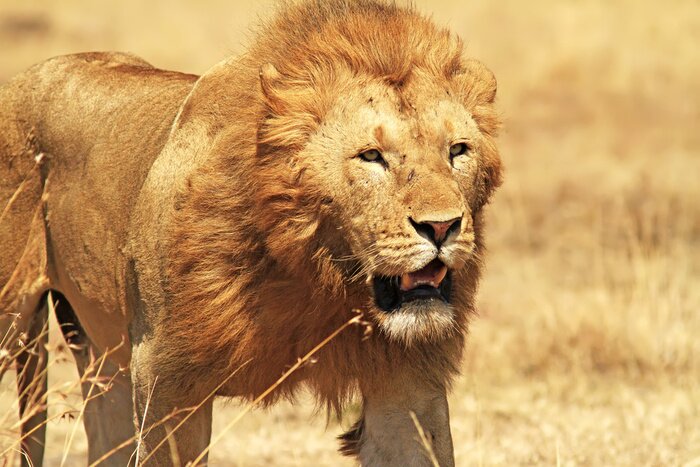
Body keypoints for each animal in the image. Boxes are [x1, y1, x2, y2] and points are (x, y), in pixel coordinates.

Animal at [0, 0, 502, 465]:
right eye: (371, 156)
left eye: (458, 151)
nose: (442, 226)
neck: (313, 274)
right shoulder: (164, 379)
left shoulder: (407, 381)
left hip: (101, 358)